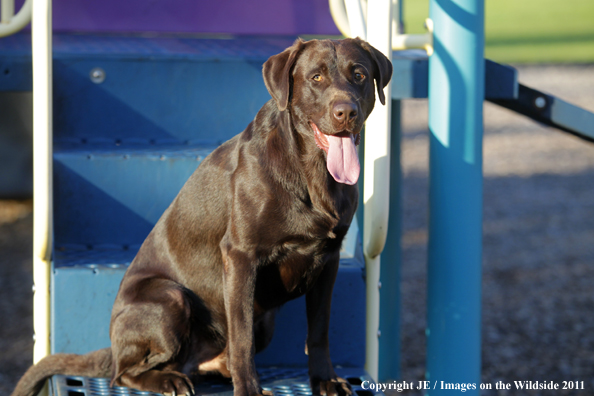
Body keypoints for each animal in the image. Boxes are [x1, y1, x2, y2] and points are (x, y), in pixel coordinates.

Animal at [12, 37, 388, 396]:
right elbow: (241, 337)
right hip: (170, 299)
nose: (346, 111)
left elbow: (319, 331)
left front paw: (326, 381)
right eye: (316, 77)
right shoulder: (240, 256)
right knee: (125, 374)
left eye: (359, 75)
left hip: (263, 321)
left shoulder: (329, 260)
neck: (312, 173)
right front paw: (248, 390)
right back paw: (171, 381)